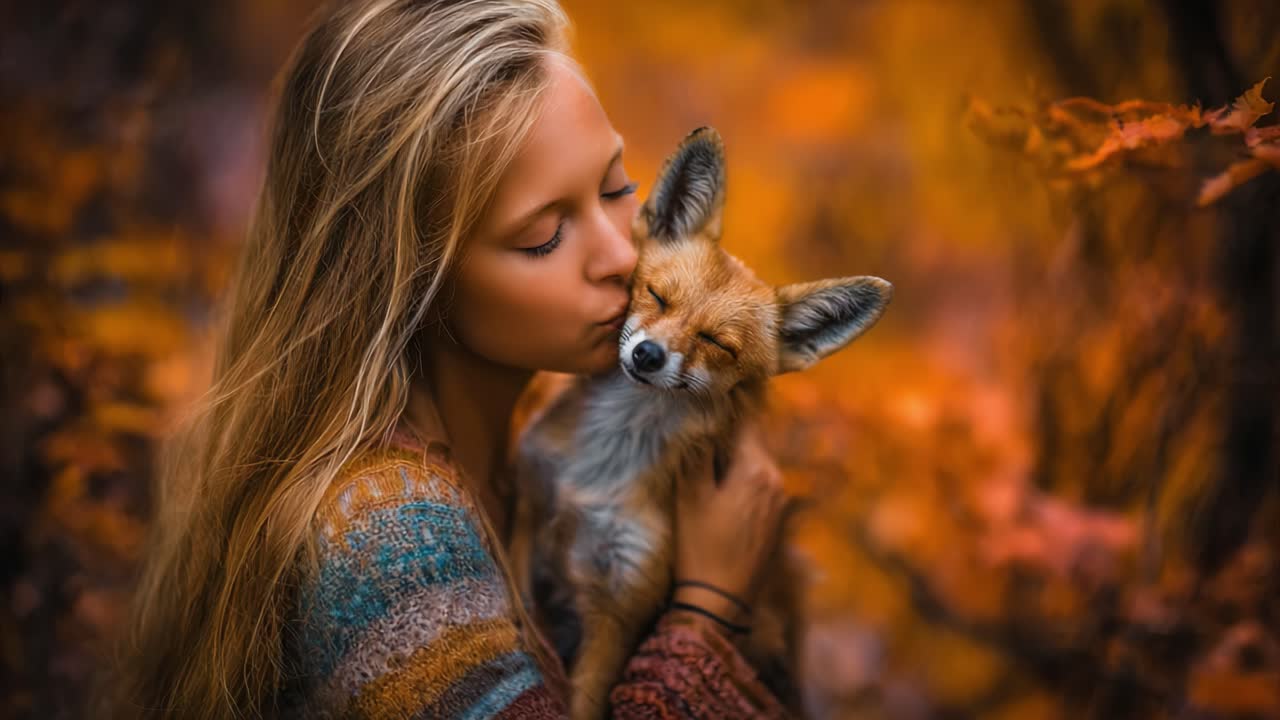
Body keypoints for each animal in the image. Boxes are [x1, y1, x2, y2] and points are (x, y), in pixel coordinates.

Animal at [510, 126, 892, 720]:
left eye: (717, 342)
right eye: (656, 295)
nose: (647, 356)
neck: (601, 468)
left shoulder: (621, 606)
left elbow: (584, 698)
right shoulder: (528, 524)